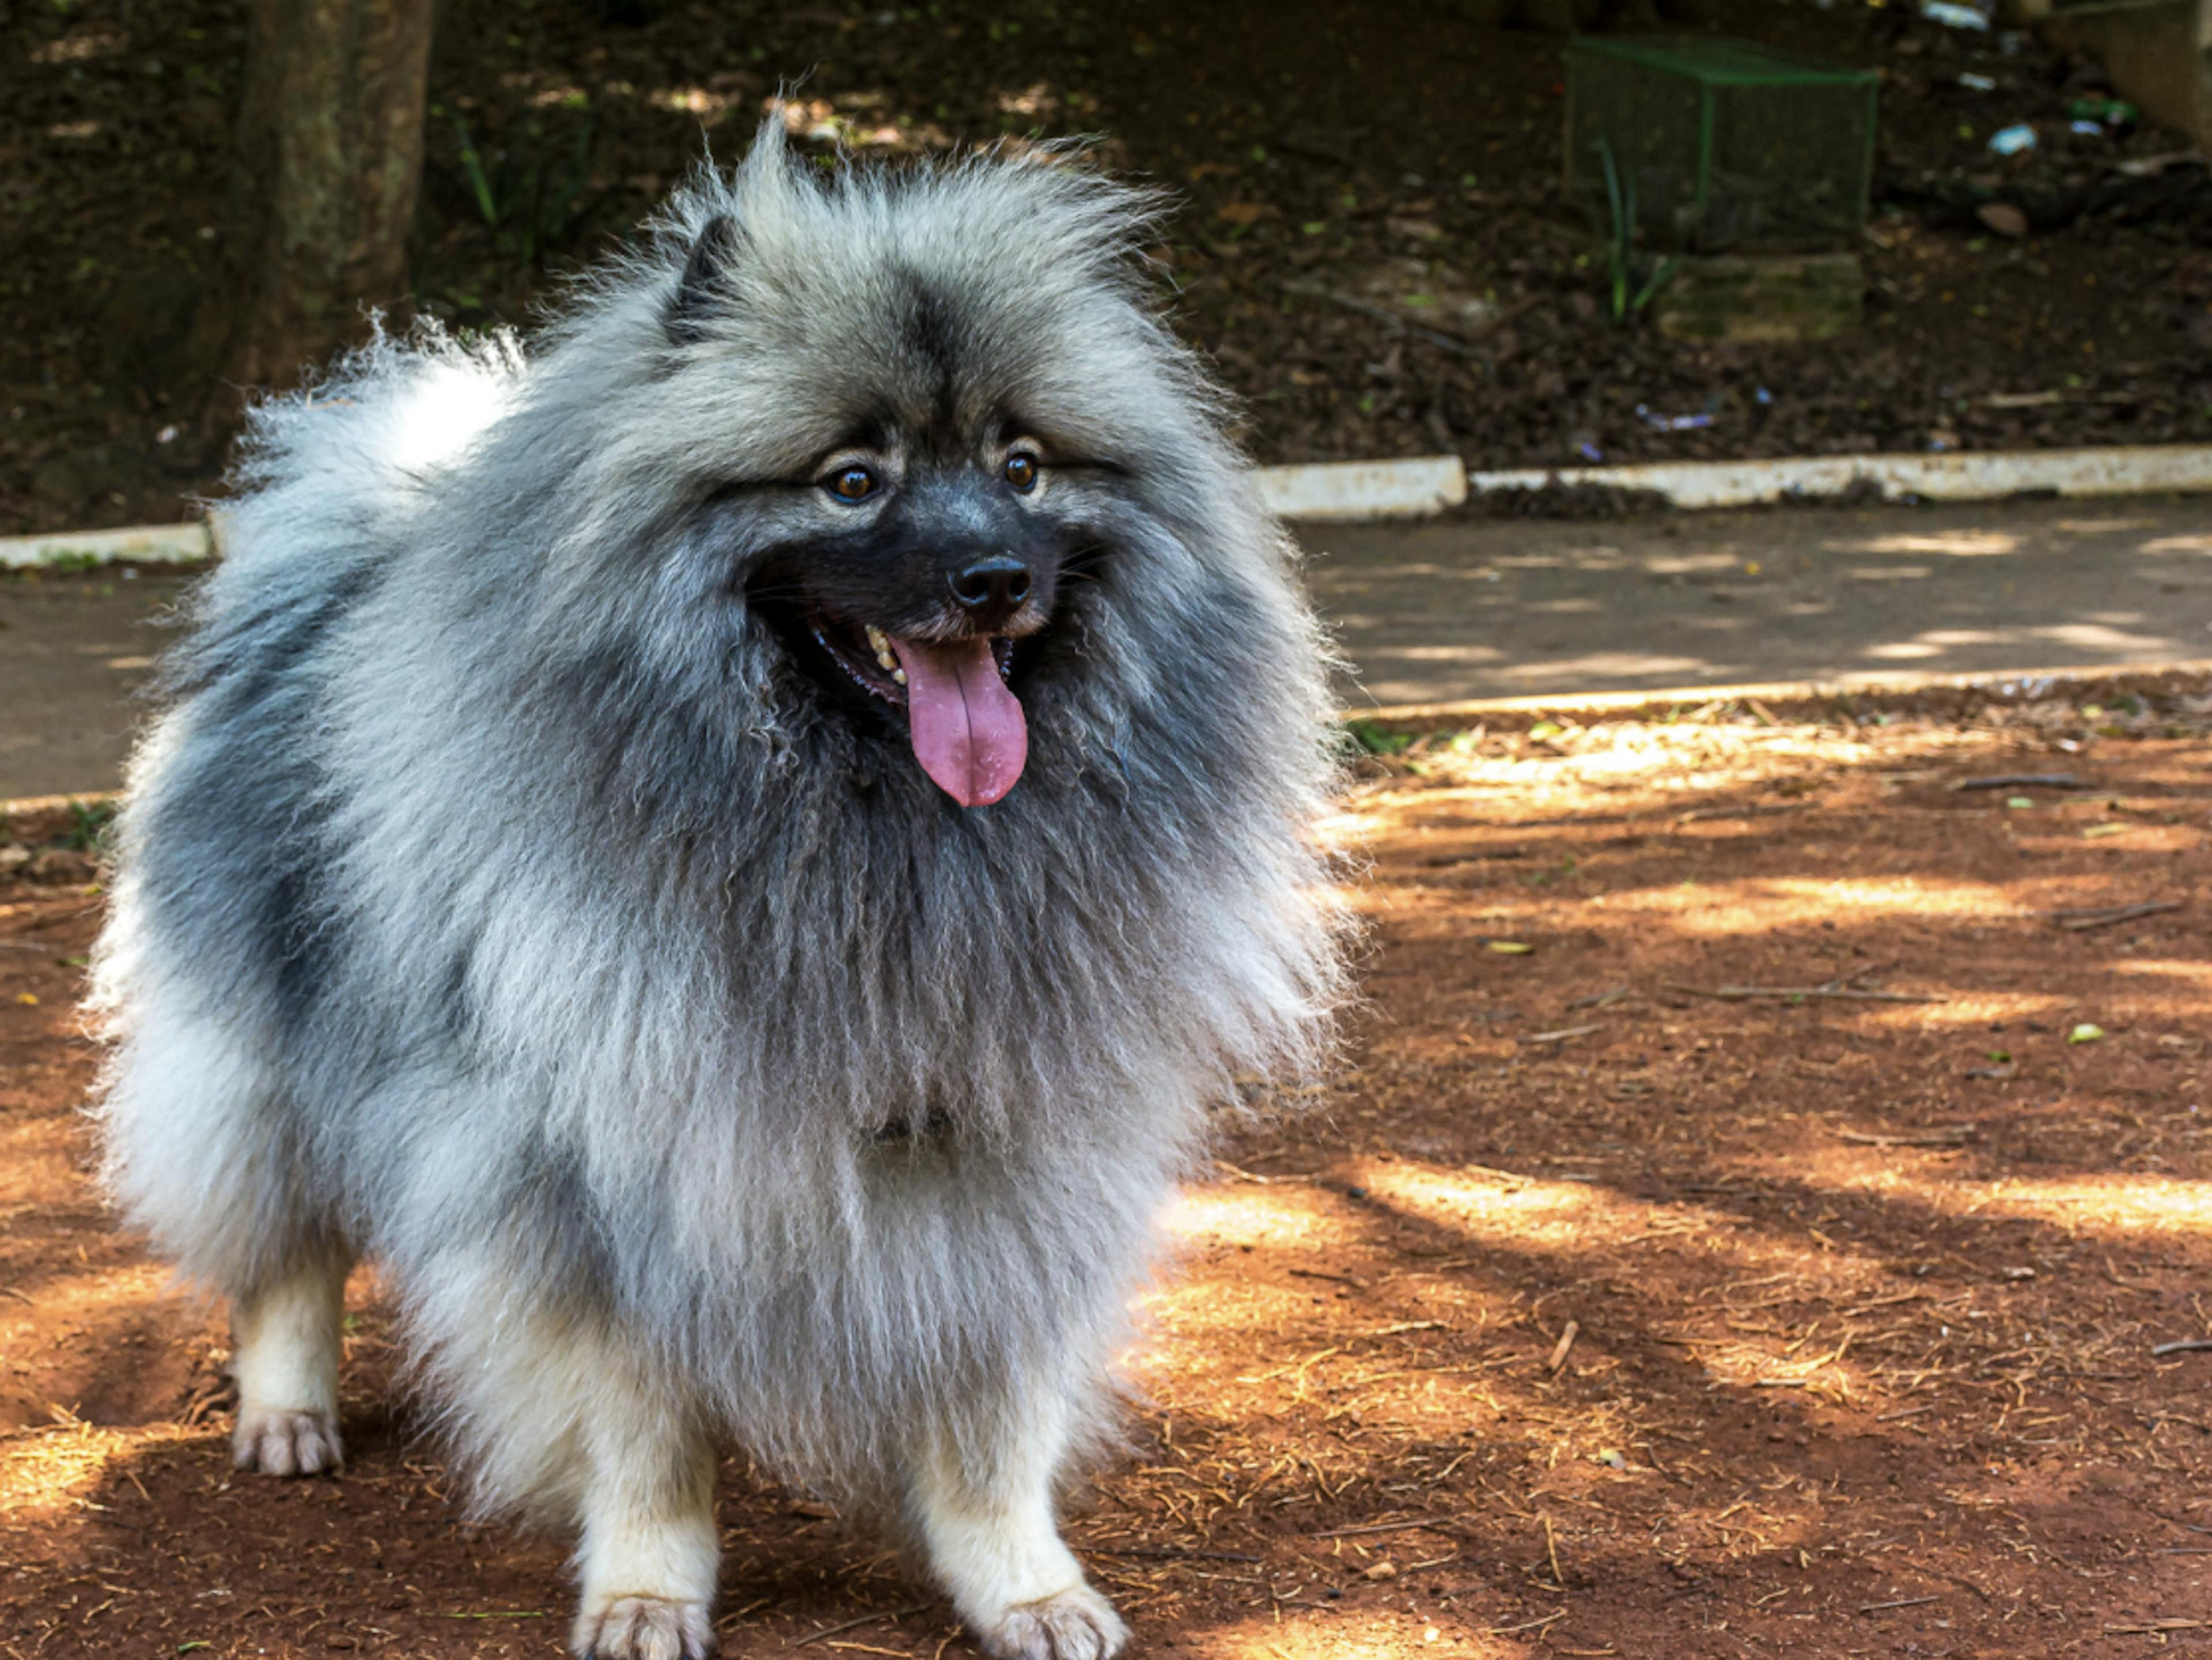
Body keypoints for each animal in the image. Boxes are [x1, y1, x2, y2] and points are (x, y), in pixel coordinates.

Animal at [90, 120, 1344, 1660]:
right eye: (852, 479)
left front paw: (1022, 1583)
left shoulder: (1004, 1144)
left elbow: (990, 1403)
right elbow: (641, 1421)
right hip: (258, 1052)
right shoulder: (592, 1173)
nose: (993, 575)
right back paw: (286, 1413)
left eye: (1024, 465)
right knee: (284, 1247)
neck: (873, 840)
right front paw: (645, 1586)